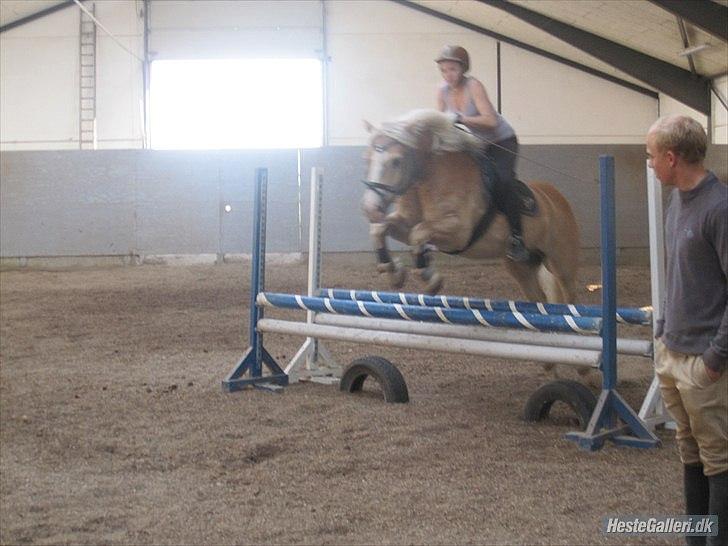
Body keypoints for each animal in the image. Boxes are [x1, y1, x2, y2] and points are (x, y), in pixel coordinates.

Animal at [362, 108, 580, 304]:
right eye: (367, 159)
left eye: (396, 161)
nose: (370, 208)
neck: (429, 179)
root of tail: (556, 197)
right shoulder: (405, 224)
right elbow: (380, 228)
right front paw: (393, 272)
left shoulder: (458, 233)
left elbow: (419, 232)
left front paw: (431, 279)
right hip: (521, 266)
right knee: (539, 298)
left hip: (561, 263)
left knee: (569, 297)